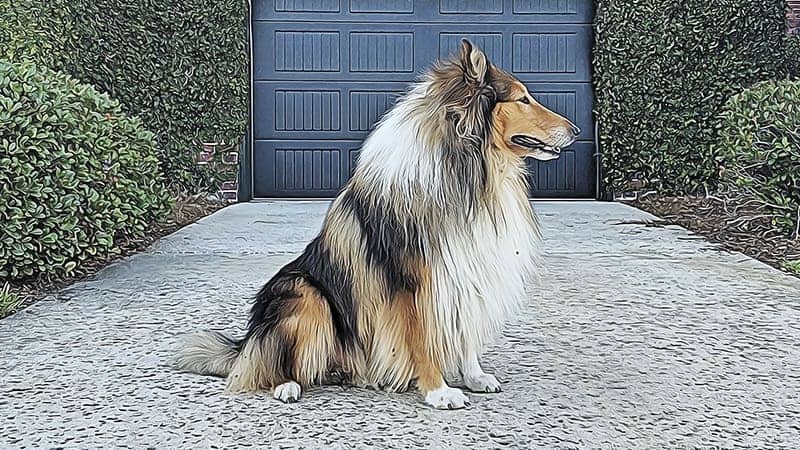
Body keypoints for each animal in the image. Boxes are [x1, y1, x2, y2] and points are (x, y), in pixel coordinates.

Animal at [177, 40, 576, 410]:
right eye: (523, 99)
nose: (575, 130)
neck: (470, 171)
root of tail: (247, 340)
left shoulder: (466, 269)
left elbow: (465, 330)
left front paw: (474, 376)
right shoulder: (410, 283)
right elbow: (423, 339)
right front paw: (439, 391)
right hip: (305, 295)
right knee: (269, 364)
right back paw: (287, 385)